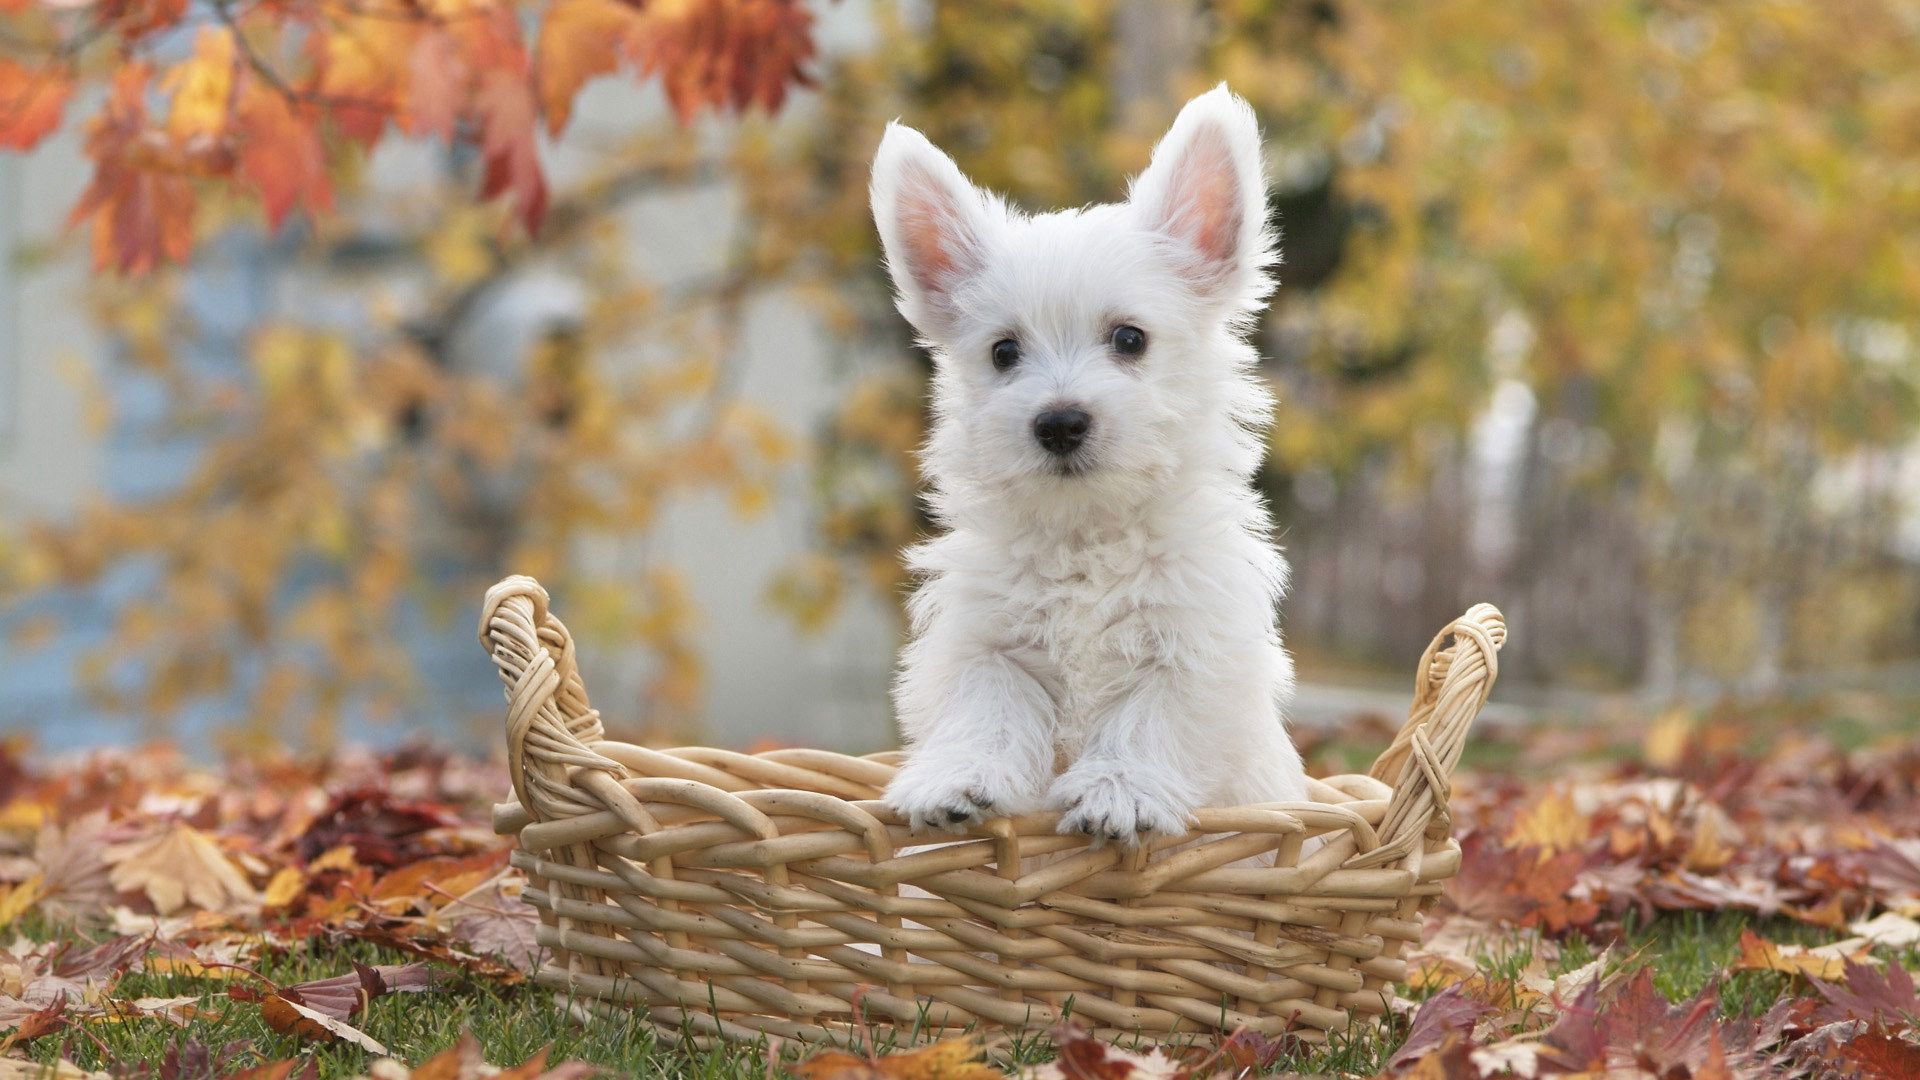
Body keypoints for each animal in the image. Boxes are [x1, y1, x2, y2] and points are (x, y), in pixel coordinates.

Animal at [875, 85, 1313, 841]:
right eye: (1004, 352)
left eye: (1130, 339)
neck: (1088, 533)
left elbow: (1149, 719)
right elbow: (987, 710)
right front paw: (954, 780)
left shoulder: (1192, 646)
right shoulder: (987, 642)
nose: (1059, 422)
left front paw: (1119, 793)